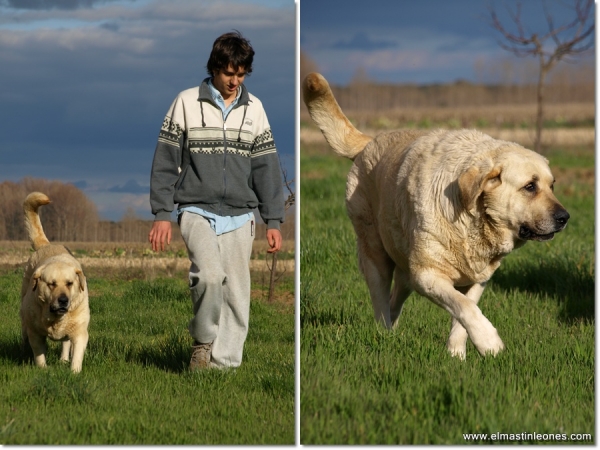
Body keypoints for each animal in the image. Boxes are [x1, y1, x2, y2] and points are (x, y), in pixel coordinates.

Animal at [20, 193, 89, 372]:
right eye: (51, 284)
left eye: (70, 283)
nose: (63, 300)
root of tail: (47, 245)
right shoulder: (35, 333)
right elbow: (39, 353)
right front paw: (43, 369)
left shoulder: (79, 331)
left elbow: (77, 353)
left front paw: (74, 372)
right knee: (24, 330)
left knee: (65, 343)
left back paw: (63, 360)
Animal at [302, 73, 568, 358]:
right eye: (530, 186)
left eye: (551, 186)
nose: (565, 217)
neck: (471, 222)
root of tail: (371, 141)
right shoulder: (427, 275)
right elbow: (464, 307)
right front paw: (489, 342)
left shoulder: (478, 280)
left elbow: (463, 312)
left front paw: (456, 354)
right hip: (375, 252)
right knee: (381, 299)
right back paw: (384, 333)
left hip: (405, 266)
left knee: (395, 298)